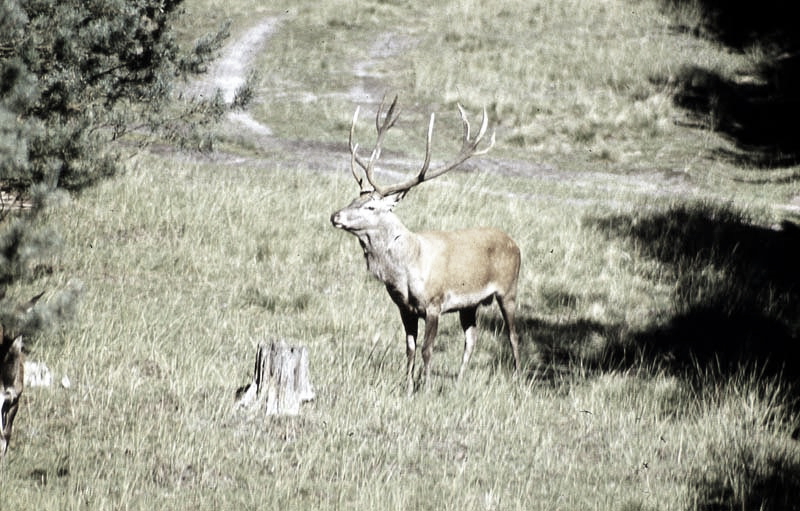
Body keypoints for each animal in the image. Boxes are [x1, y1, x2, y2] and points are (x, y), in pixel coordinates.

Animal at [330, 97, 520, 396]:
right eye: (353, 199)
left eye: (370, 206)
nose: (335, 216)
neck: (406, 270)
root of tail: (515, 243)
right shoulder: (404, 308)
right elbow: (409, 348)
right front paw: (408, 388)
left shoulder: (434, 303)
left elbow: (428, 349)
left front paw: (426, 387)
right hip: (470, 304)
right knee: (471, 338)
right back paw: (458, 383)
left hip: (508, 289)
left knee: (513, 335)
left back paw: (519, 382)